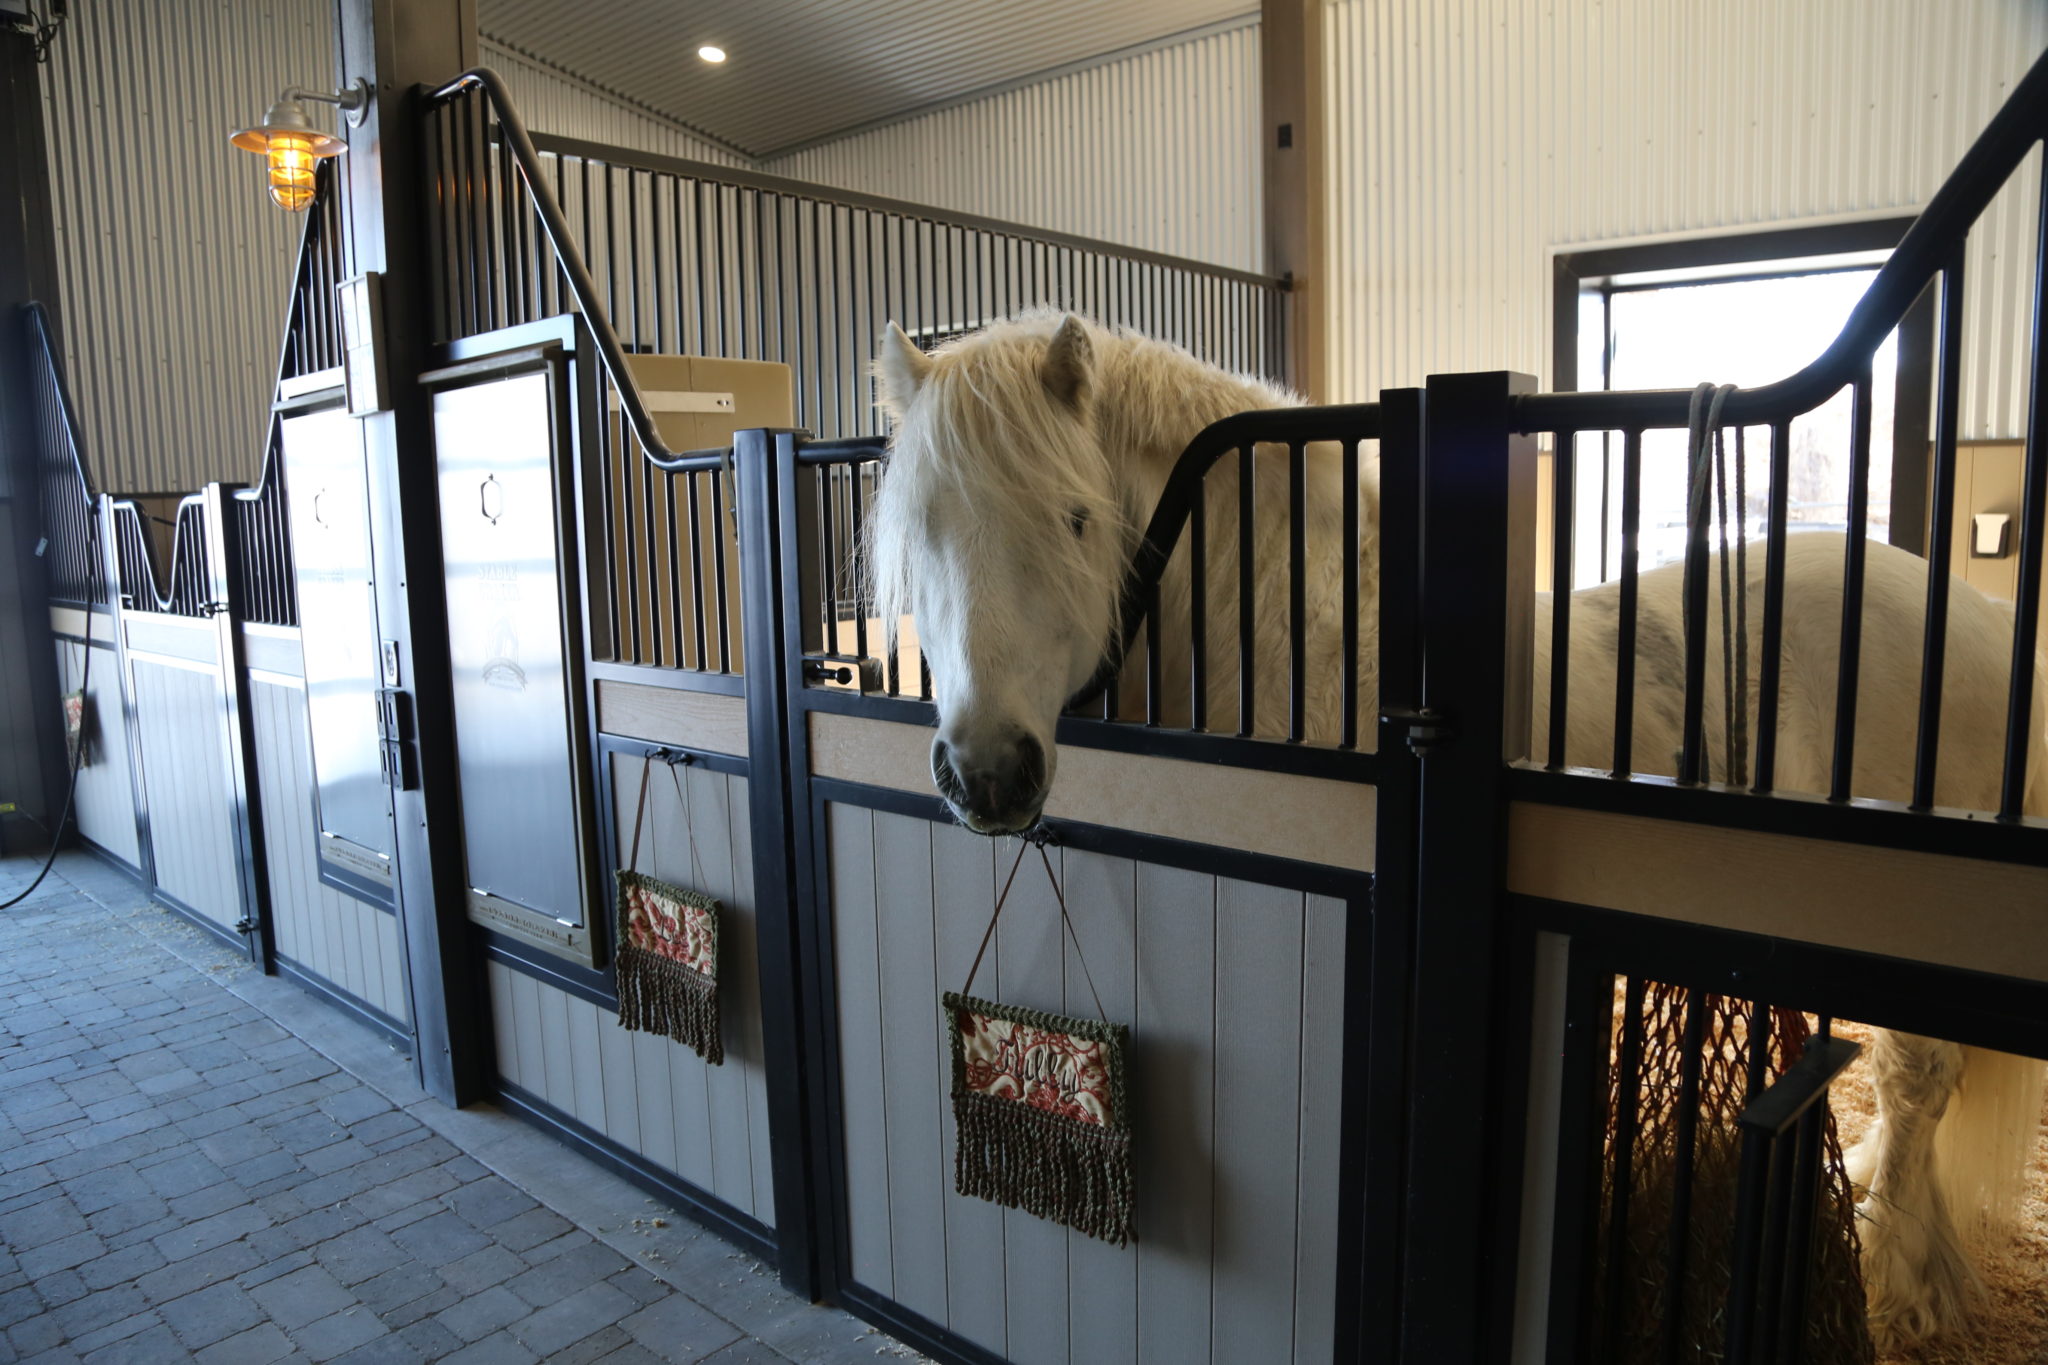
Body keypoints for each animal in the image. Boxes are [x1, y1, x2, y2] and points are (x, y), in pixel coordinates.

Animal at [865, 309, 2047, 1350]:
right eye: (918, 528)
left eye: (1073, 518)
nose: (988, 773)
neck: (1298, 632)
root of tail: (1977, 616)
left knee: (1916, 1078)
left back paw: (1901, 1284)